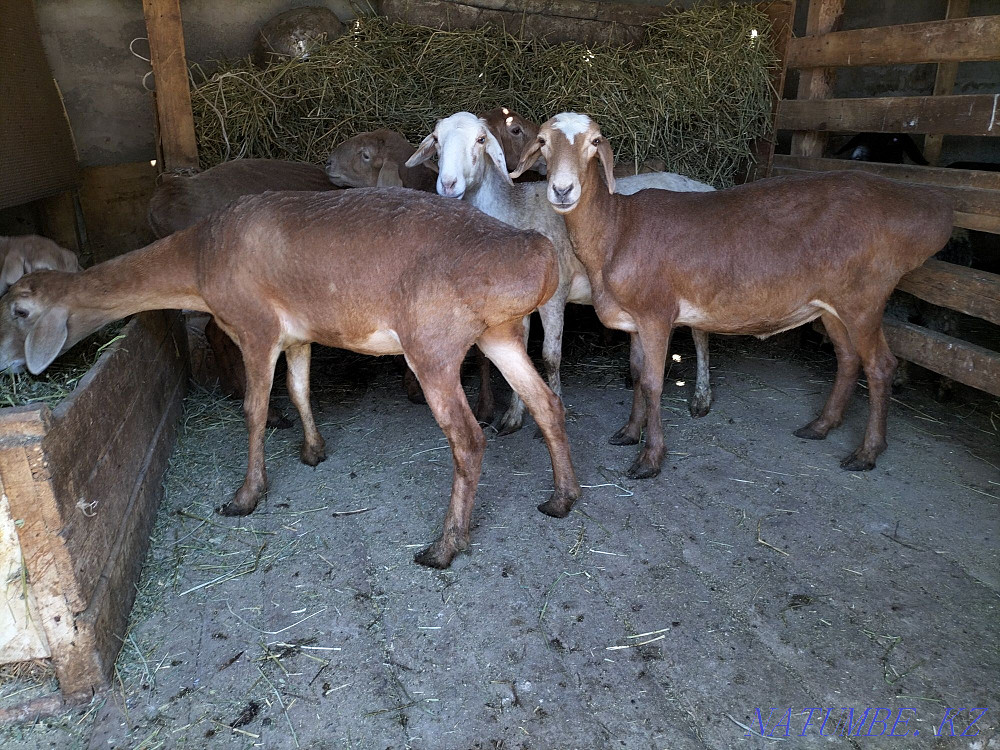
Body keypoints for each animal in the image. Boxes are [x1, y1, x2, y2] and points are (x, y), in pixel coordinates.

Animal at [0, 188, 580, 569]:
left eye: (20, 310)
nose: (7, 363)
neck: (199, 261)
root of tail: (538, 255)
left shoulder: (254, 329)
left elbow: (255, 410)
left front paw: (245, 495)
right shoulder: (298, 334)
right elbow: (301, 390)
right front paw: (313, 450)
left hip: (433, 345)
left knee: (468, 438)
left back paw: (443, 547)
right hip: (501, 334)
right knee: (547, 404)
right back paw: (562, 499)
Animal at [405, 112, 716, 434]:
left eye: (481, 140)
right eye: (436, 139)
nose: (448, 184)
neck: (514, 211)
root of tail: (705, 186)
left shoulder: (555, 296)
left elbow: (550, 357)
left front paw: (557, 409)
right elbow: (521, 354)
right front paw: (514, 416)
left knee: (701, 337)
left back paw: (701, 398)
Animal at [513, 112, 953, 478]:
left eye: (594, 142)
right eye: (544, 141)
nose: (563, 190)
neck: (617, 227)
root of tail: (932, 216)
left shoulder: (657, 313)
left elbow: (653, 383)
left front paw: (650, 459)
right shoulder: (635, 318)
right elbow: (637, 374)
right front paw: (628, 432)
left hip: (866, 298)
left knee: (880, 366)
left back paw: (867, 452)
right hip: (831, 304)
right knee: (847, 358)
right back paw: (821, 426)